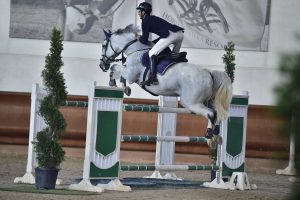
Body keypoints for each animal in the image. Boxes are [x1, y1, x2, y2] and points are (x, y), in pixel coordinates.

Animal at [98, 24, 232, 148]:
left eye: (103, 46)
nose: (102, 65)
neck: (135, 50)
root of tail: (209, 73)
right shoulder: (129, 73)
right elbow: (118, 71)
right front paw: (124, 87)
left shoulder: (130, 74)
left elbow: (115, 68)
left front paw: (114, 83)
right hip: (207, 101)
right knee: (217, 113)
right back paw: (216, 137)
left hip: (191, 103)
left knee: (211, 114)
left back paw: (209, 135)